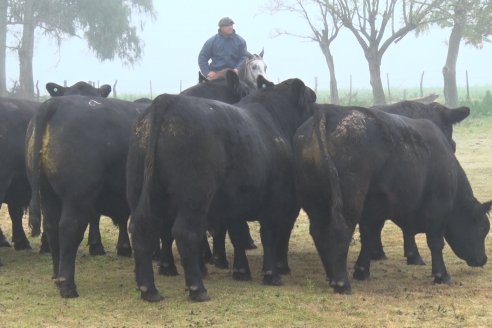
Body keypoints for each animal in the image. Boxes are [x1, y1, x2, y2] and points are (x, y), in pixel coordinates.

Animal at [128, 77, 316, 302]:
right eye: (312, 99)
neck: (274, 121)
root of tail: (167, 101)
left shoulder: (235, 203)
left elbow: (238, 235)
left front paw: (242, 272)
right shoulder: (274, 200)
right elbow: (269, 235)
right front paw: (271, 274)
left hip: (144, 192)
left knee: (142, 228)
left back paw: (149, 289)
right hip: (195, 197)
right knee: (186, 233)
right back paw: (197, 288)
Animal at [294, 105, 490, 294]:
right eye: (483, 229)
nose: (483, 259)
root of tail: (329, 112)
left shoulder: (373, 212)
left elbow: (369, 237)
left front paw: (362, 271)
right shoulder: (437, 211)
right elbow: (435, 243)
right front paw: (441, 275)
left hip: (315, 202)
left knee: (319, 233)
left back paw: (331, 275)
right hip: (349, 201)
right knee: (340, 233)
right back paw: (342, 282)